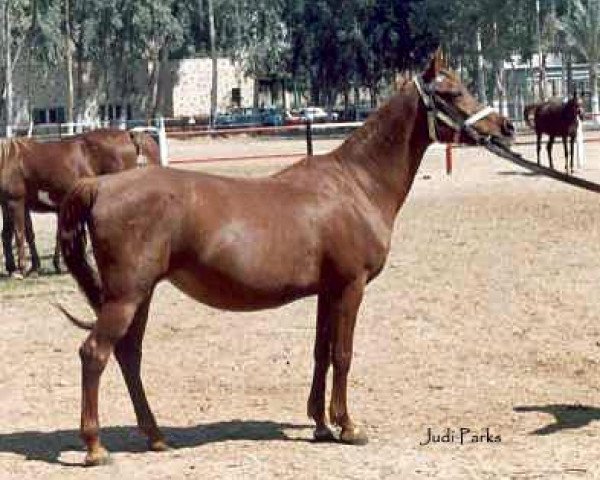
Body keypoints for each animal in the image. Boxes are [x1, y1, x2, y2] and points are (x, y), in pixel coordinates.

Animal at [0, 127, 159, 278]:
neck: (9, 159)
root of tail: (129, 135)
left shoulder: (15, 202)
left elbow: (19, 234)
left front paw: (21, 269)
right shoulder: (13, 204)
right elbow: (17, 234)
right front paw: (24, 268)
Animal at [57, 51, 516, 464]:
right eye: (453, 93)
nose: (507, 126)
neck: (357, 184)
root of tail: (101, 185)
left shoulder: (327, 291)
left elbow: (321, 353)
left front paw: (321, 424)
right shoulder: (350, 287)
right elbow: (343, 355)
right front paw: (348, 426)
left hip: (141, 295)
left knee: (129, 355)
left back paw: (155, 437)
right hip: (127, 296)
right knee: (94, 354)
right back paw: (95, 447)